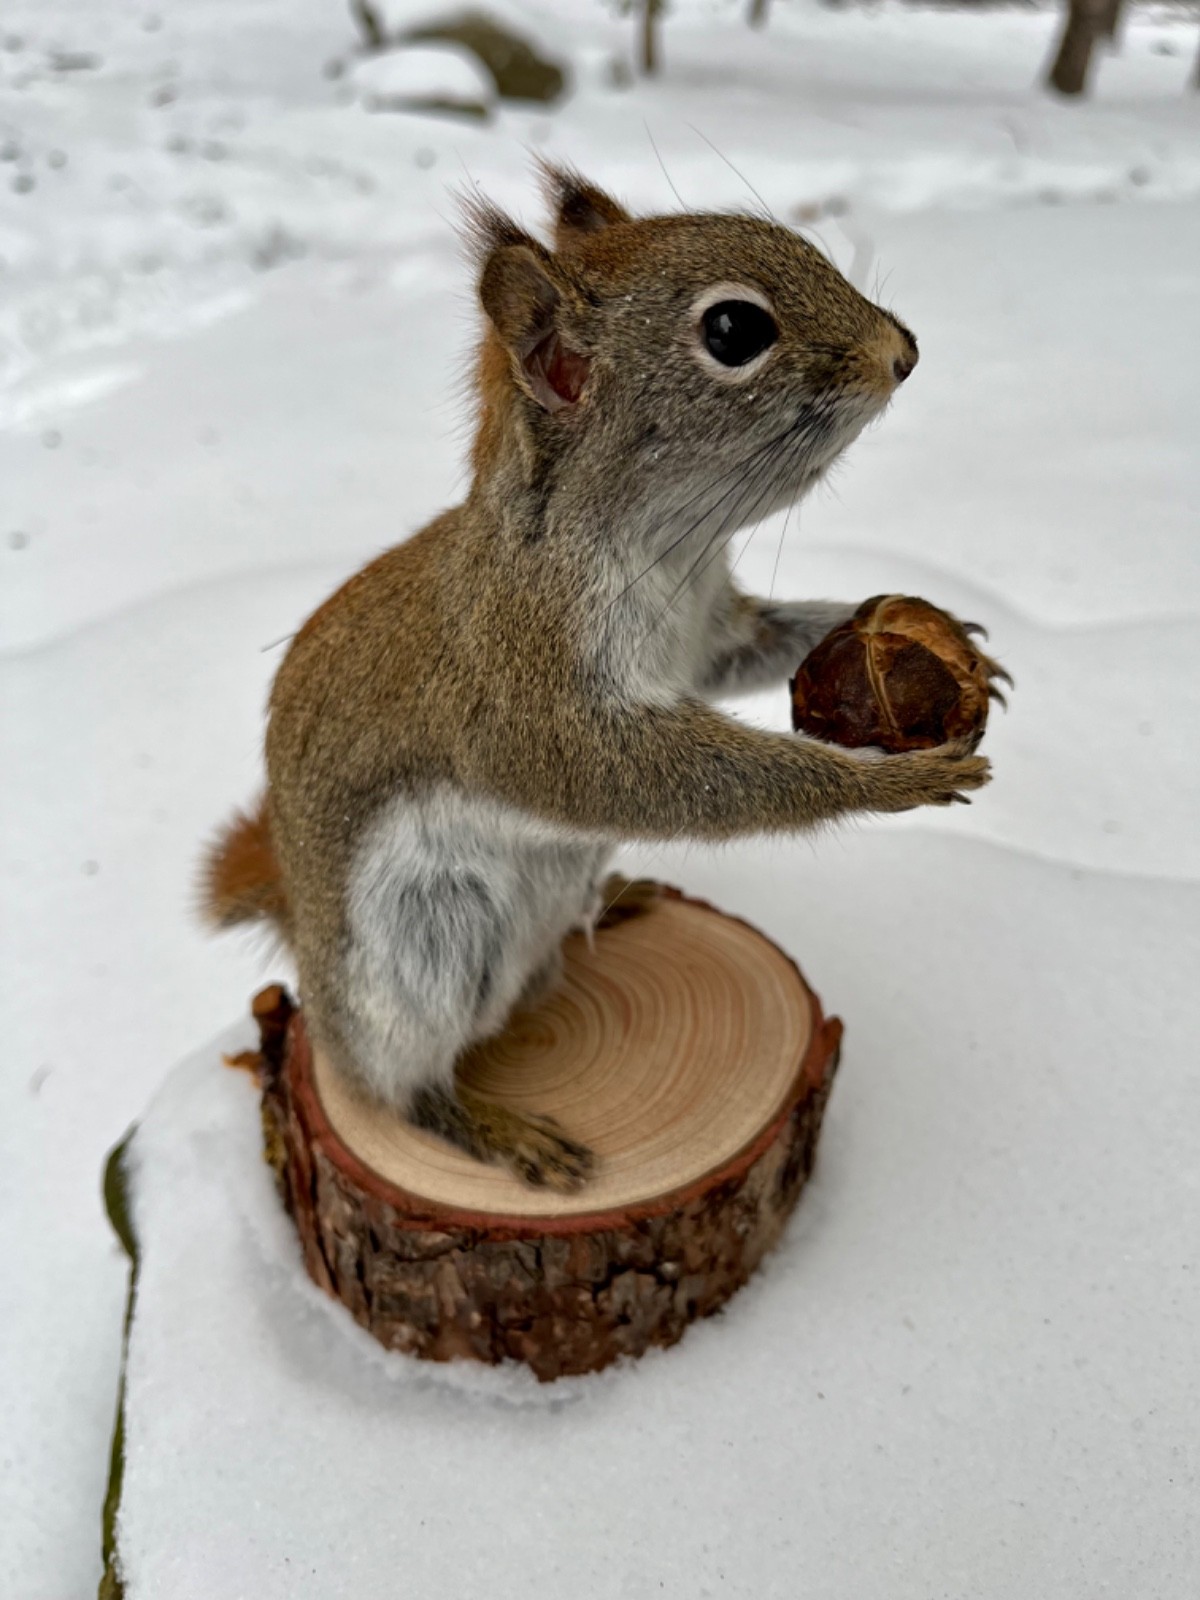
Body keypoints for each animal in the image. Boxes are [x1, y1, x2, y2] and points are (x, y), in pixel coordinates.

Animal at [201, 164, 996, 1191]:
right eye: (733, 330)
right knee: (395, 1086)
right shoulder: (528, 683)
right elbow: (636, 779)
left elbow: (759, 647)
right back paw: (494, 1127)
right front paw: (886, 781)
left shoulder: (708, 635)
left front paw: (941, 637)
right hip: (421, 956)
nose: (902, 352)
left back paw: (617, 902)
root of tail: (299, 930)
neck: (662, 548)